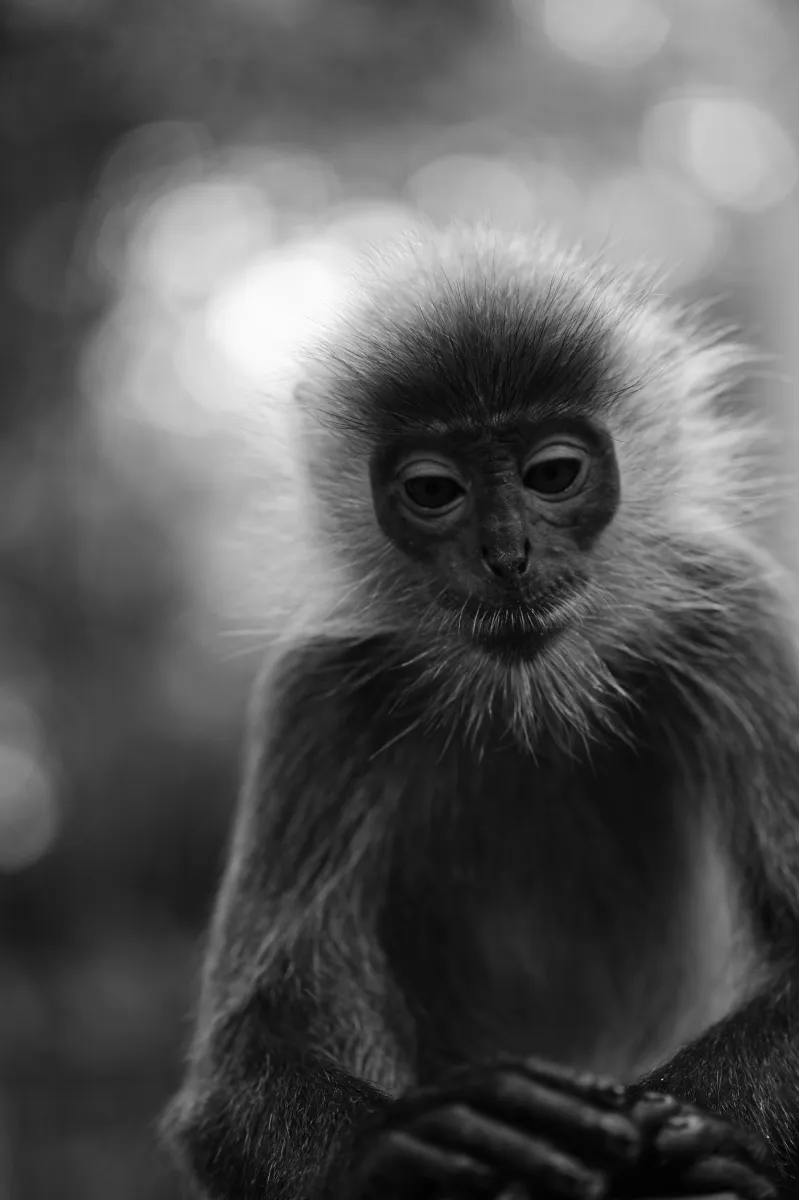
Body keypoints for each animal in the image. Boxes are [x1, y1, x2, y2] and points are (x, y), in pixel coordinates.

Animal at [162, 224, 799, 1200]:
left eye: (552, 474)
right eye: (434, 490)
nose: (507, 554)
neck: (526, 704)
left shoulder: (733, 611)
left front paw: (678, 1137)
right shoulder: (321, 691)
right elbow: (236, 1079)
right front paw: (406, 1145)